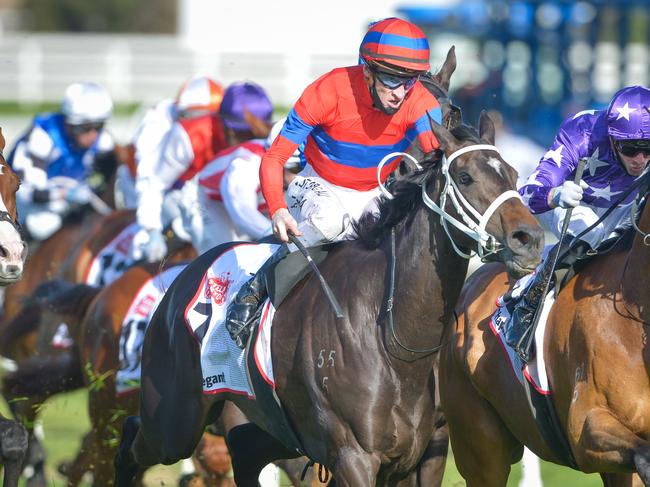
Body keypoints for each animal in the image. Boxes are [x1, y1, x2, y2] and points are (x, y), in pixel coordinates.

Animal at [115, 108, 540, 486]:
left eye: (514, 174)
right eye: (465, 177)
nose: (530, 238)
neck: (393, 337)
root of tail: (182, 275)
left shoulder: (423, 452)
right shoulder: (355, 456)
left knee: (244, 450)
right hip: (172, 420)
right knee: (132, 437)